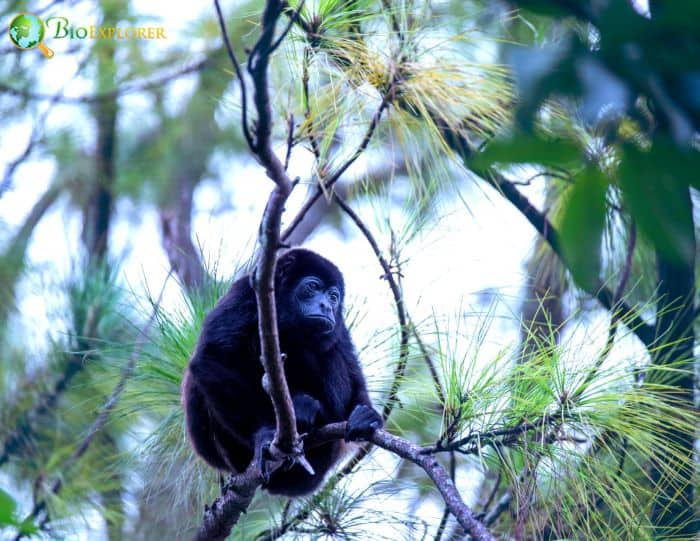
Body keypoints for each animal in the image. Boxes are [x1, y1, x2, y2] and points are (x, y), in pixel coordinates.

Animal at [180, 249, 382, 494]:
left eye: (333, 296)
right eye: (312, 286)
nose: (326, 306)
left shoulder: (340, 325)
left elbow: (355, 380)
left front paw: (367, 416)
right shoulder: (244, 293)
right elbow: (212, 358)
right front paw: (264, 434)